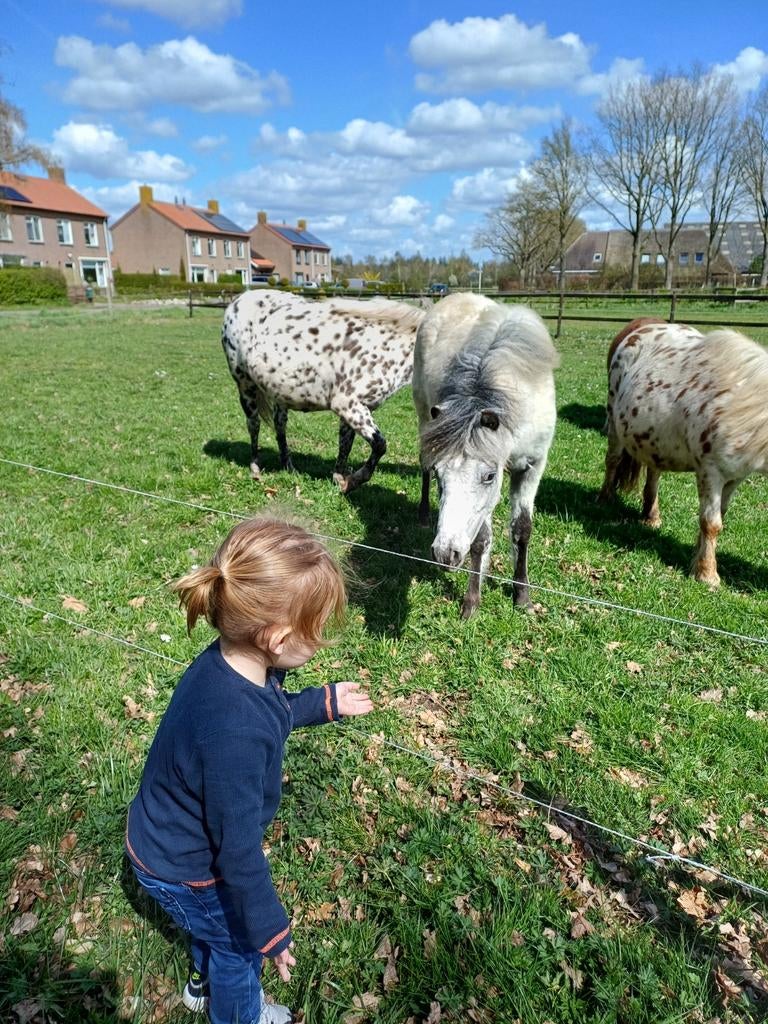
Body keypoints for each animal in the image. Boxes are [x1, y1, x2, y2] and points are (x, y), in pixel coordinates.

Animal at [221, 289, 425, 493]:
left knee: (280, 425)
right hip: (245, 385)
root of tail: (239, 300)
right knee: (254, 424)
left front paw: (340, 480)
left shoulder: (355, 410)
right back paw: (255, 468)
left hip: (279, 393)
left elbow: (346, 444)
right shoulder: (347, 405)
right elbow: (379, 445)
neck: (384, 348)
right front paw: (353, 481)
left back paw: (289, 467)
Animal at [413, 293, 559, 618]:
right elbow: (480, 540)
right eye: (442, 475)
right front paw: (471, 602)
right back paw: (424, 513)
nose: (445, 553)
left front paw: (522, 596)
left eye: (490, 476)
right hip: (425, 417)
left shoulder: (533, 466)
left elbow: (522, 529)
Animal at [598, 318, 768, 585]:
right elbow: (711, 522)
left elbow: (718, 517)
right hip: (614, 420)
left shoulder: (734, 478)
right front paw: (707, 574)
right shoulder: (710, 471)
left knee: (653, 474)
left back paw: (651, 516)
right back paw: (604, 499)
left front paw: (697, 559)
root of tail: (636, 327)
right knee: (613, 460)